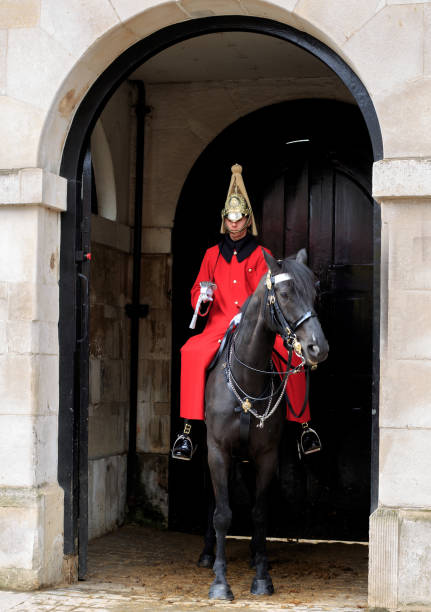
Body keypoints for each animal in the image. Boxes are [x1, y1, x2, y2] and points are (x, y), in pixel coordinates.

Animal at [204, 247, 330, 596]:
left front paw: (261, 575)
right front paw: (220, 582)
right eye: (285, 294)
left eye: (315, 293)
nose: (318, 348)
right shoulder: (217, 451)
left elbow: (259, 513)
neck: (247, 378)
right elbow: (222, 514)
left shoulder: (266, 455)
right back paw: (207, 553)